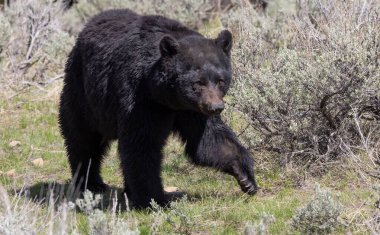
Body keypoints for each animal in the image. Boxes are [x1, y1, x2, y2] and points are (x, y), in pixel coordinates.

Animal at [58, 8, 256, 207]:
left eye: (220, 81)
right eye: (198, 83)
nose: (216, 107)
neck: (168, 97)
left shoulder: (192, 111)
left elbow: (209, 140)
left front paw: (245, 177)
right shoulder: (141, 99)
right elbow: (142, 144)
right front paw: (155, 199)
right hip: (82, 92)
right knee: (83, 138)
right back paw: (90, 183)